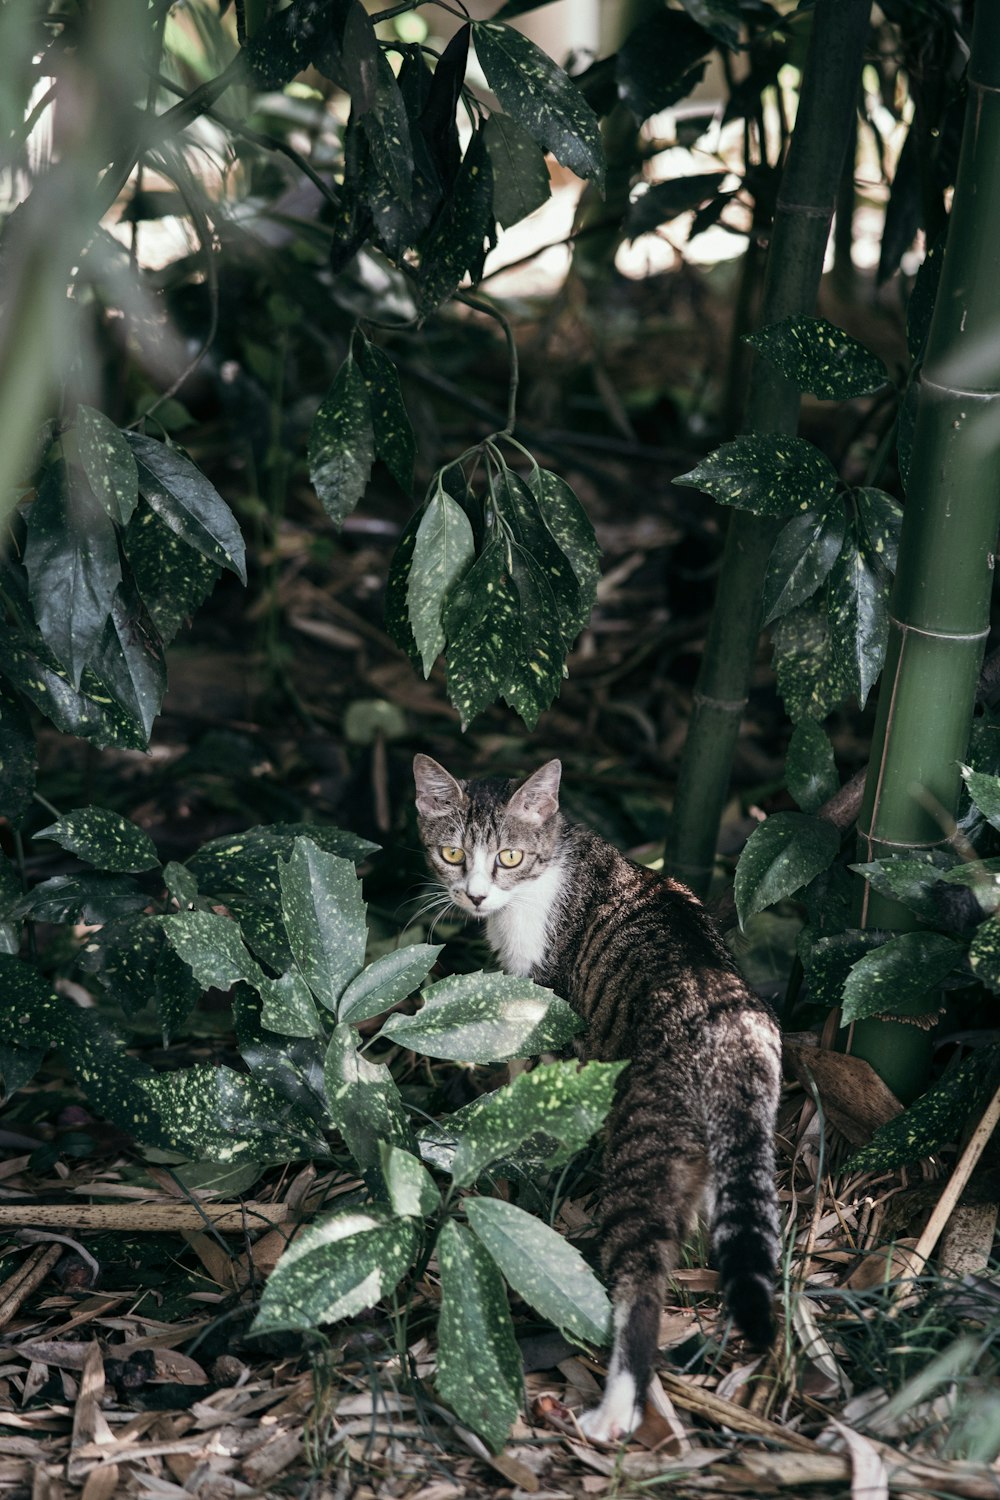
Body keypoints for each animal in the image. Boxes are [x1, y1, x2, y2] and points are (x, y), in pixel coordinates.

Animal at [413, 756, 779, 1446]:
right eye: (452, 854)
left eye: (507, 857)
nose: (473, 896)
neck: (548, 871)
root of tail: (728, 1030)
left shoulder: (549, 1007)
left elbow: (532, 1069)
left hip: (642, 1148)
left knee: (642, 1282)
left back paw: (617, 1407)